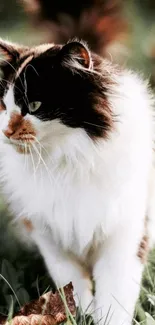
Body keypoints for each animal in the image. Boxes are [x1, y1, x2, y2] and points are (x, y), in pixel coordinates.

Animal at [0, 37, 154, 322]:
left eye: (34, 107)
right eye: (4, 107)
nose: (5, 131)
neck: (67, 160)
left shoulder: (126, 236)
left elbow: (116, 294)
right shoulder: (50, 236)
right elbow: (72, 285)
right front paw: (81, 316)